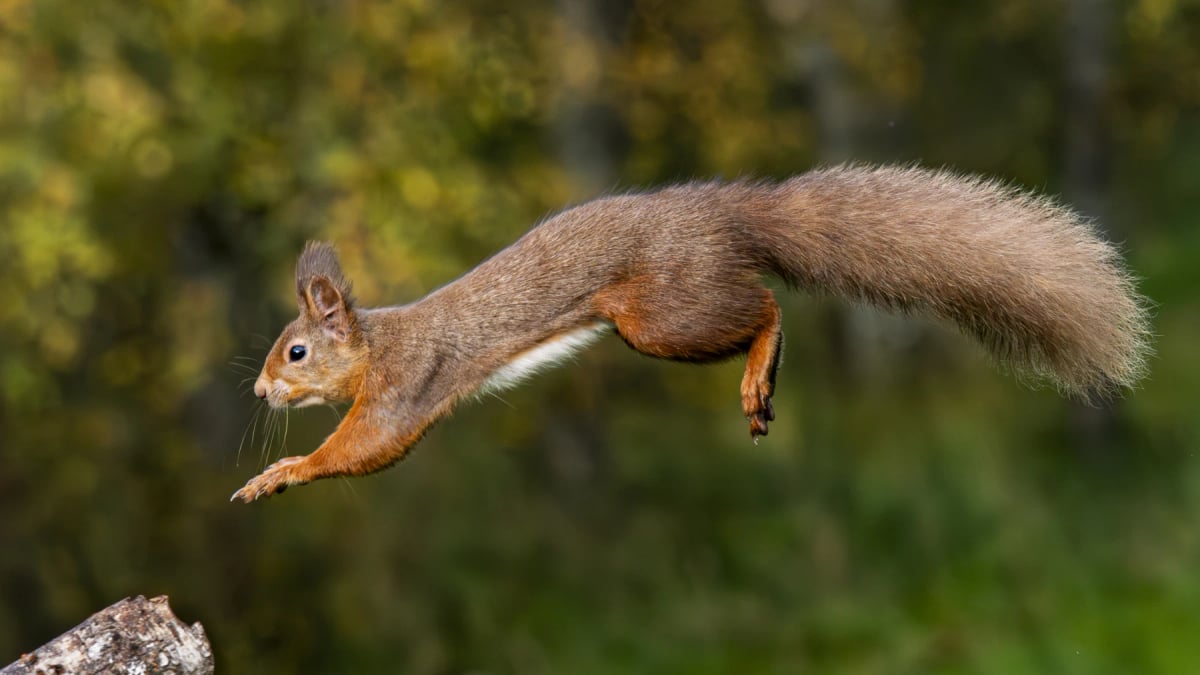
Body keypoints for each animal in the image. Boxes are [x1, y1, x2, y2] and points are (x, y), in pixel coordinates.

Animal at [232, 164, 1150, 503]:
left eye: (297, 351)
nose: (260, 388)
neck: (377, 342)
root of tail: (722, 212)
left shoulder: (409, 384)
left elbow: (365, 446)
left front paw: (280, 472)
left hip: (660, 315)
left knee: (767, 307)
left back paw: (757, 374)